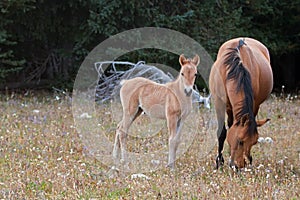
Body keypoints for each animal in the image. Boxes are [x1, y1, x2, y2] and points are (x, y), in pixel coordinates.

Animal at [210, 37, 274, 169]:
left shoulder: (254, 103)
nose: (240, 166)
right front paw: (219, 162)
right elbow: (221, 132)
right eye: (240, 141)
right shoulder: (218, 102)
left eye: (254, 142)